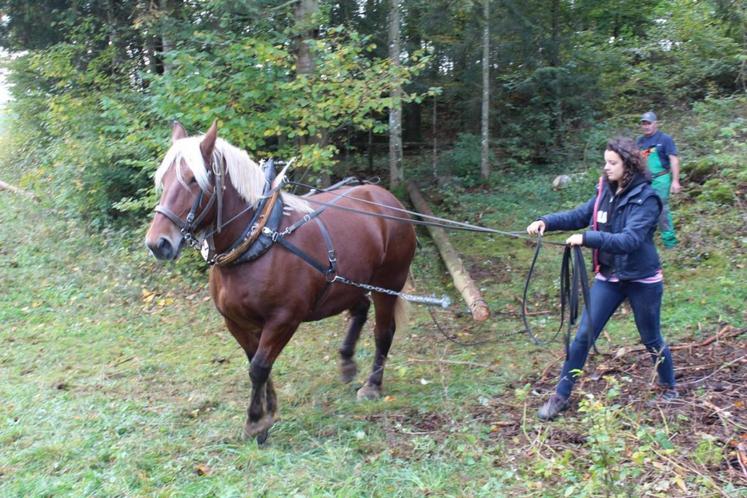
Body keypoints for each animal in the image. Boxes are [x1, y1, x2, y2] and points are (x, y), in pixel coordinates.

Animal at [144, 122, 416, 442]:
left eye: (192, 180)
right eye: (163, 180)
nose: (158, 243)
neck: (258, 238)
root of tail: (386, 198)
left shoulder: (284, 319)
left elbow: (260, 367)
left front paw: (255, 422)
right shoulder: (236, 321)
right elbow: (256, 362)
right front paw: (269, 409)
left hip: (389, 282)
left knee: (383, 332)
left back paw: (372, 385)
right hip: (351, 282)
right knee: (360, 309)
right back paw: (348, 362)